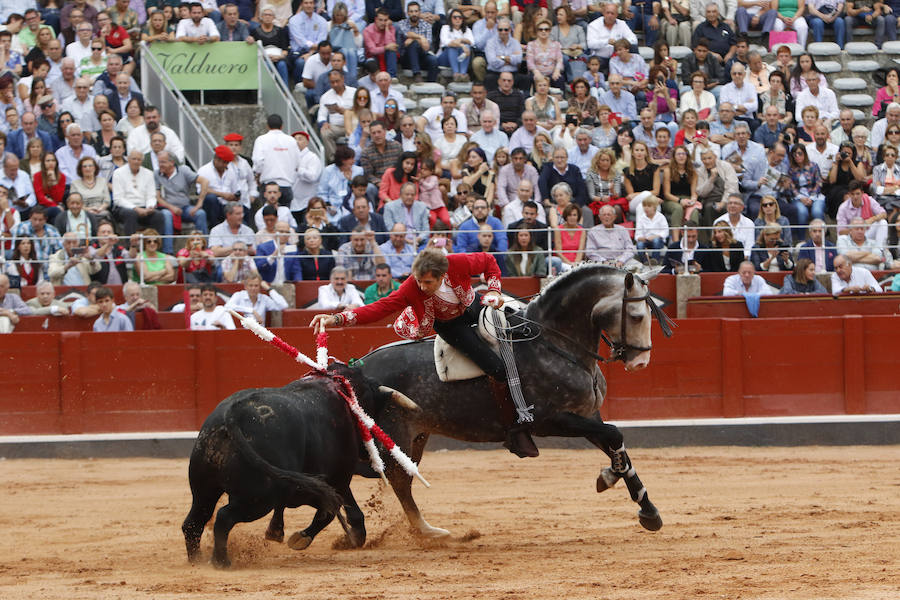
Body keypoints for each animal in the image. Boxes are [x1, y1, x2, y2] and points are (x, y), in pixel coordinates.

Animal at [184, 360, 422, 568]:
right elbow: (332, 511)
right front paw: (299, 538)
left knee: (194, 521)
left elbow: (347, 511)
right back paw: (221, 562)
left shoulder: (332, 482)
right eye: (370, 409)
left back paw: (197, 559)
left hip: (204, 486)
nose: (368, 451)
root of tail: (232, 415)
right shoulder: (326, 482)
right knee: (223, 517)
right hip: (260, 497)